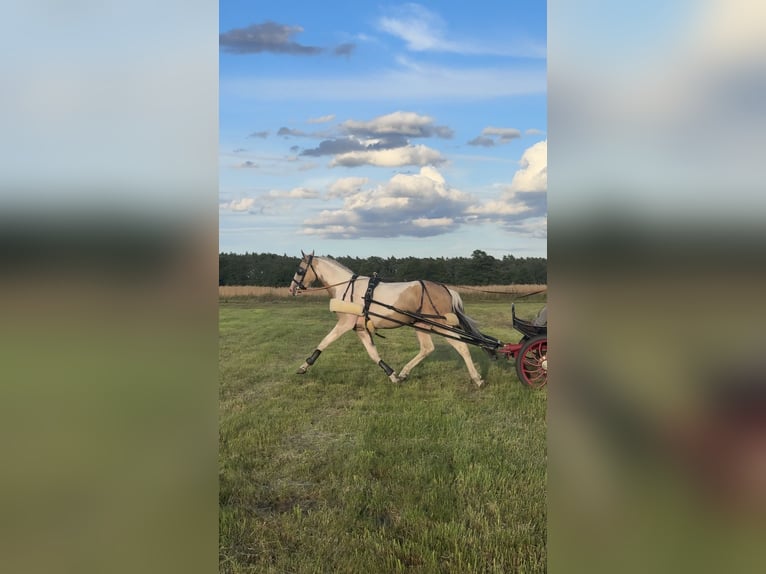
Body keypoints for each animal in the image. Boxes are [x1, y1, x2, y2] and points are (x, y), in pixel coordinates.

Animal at [288, 250, 493, 387]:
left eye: (300, 269)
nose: (292, 289)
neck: (347, 288)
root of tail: (446, 289)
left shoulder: (345, 323)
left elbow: (324, 342)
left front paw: (304, 366)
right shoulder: (361, 328)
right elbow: (373, 354)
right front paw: (392, 375)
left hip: (440, 325)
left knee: (462, 347)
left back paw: (477, 379)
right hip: (421, 324)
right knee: (427, 348)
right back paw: (404, 373)